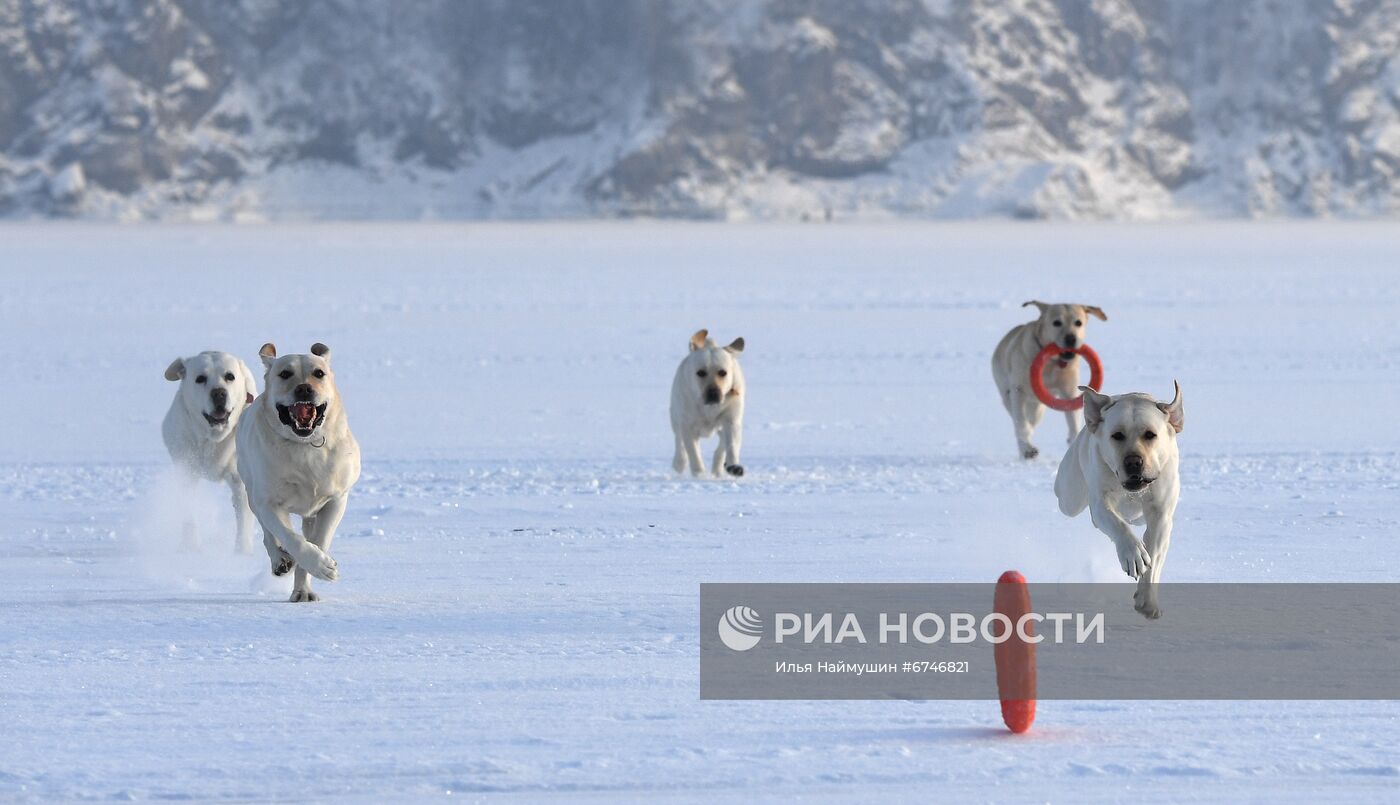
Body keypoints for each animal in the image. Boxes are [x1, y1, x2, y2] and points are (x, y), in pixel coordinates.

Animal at [164, 352, 263, 554]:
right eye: (200, 378)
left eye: (230, 376)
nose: (219, 393)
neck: (213, 439)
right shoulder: (186, 472)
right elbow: (188, 510)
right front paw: (190, 547)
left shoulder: (240, 480)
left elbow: (243, 517)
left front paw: (242, 552)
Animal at [235, 341, 358, 604]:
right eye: (284, 373)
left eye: (319, 373)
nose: (304, 389)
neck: (304, 445)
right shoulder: (268, 502)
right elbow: (291, 538)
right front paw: (323, 566)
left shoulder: (336, 499)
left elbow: (319, 540)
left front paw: (307, 584)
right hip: (251, 491)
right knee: (269, 535)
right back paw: (280, 561)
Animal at [666, 329, 744, 478]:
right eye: (700, 372)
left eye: (723, 372)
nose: (713, 393)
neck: (709, 409)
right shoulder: (688, 425)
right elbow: (693, 453)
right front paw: (699, 474)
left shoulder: (731, 419)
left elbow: (730, 444)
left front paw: (734, 466)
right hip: (675, 418)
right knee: (679, 442)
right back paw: (679, 463)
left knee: (721, 445)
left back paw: (720, 468)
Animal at [991, 301, 1108, 459]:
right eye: (1056, 322)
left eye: (1078, 322)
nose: (1071, 339)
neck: (1052, 363)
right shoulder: (1018, 392)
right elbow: (1021, 423)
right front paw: (1028, 449)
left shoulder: (1069, 394)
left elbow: (1073, 421)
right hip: (1007, 393)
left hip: (1038, 407)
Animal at [1052, 380, 1187, 621]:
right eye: (1117, 435)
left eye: (1150, 435)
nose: (1133, 462)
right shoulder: (1100, 504)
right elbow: (1118, 525)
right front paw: (1133, 555)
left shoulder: (1161, 515)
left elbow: (1154, 556)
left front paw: (1147, 601)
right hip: (1069, 494)